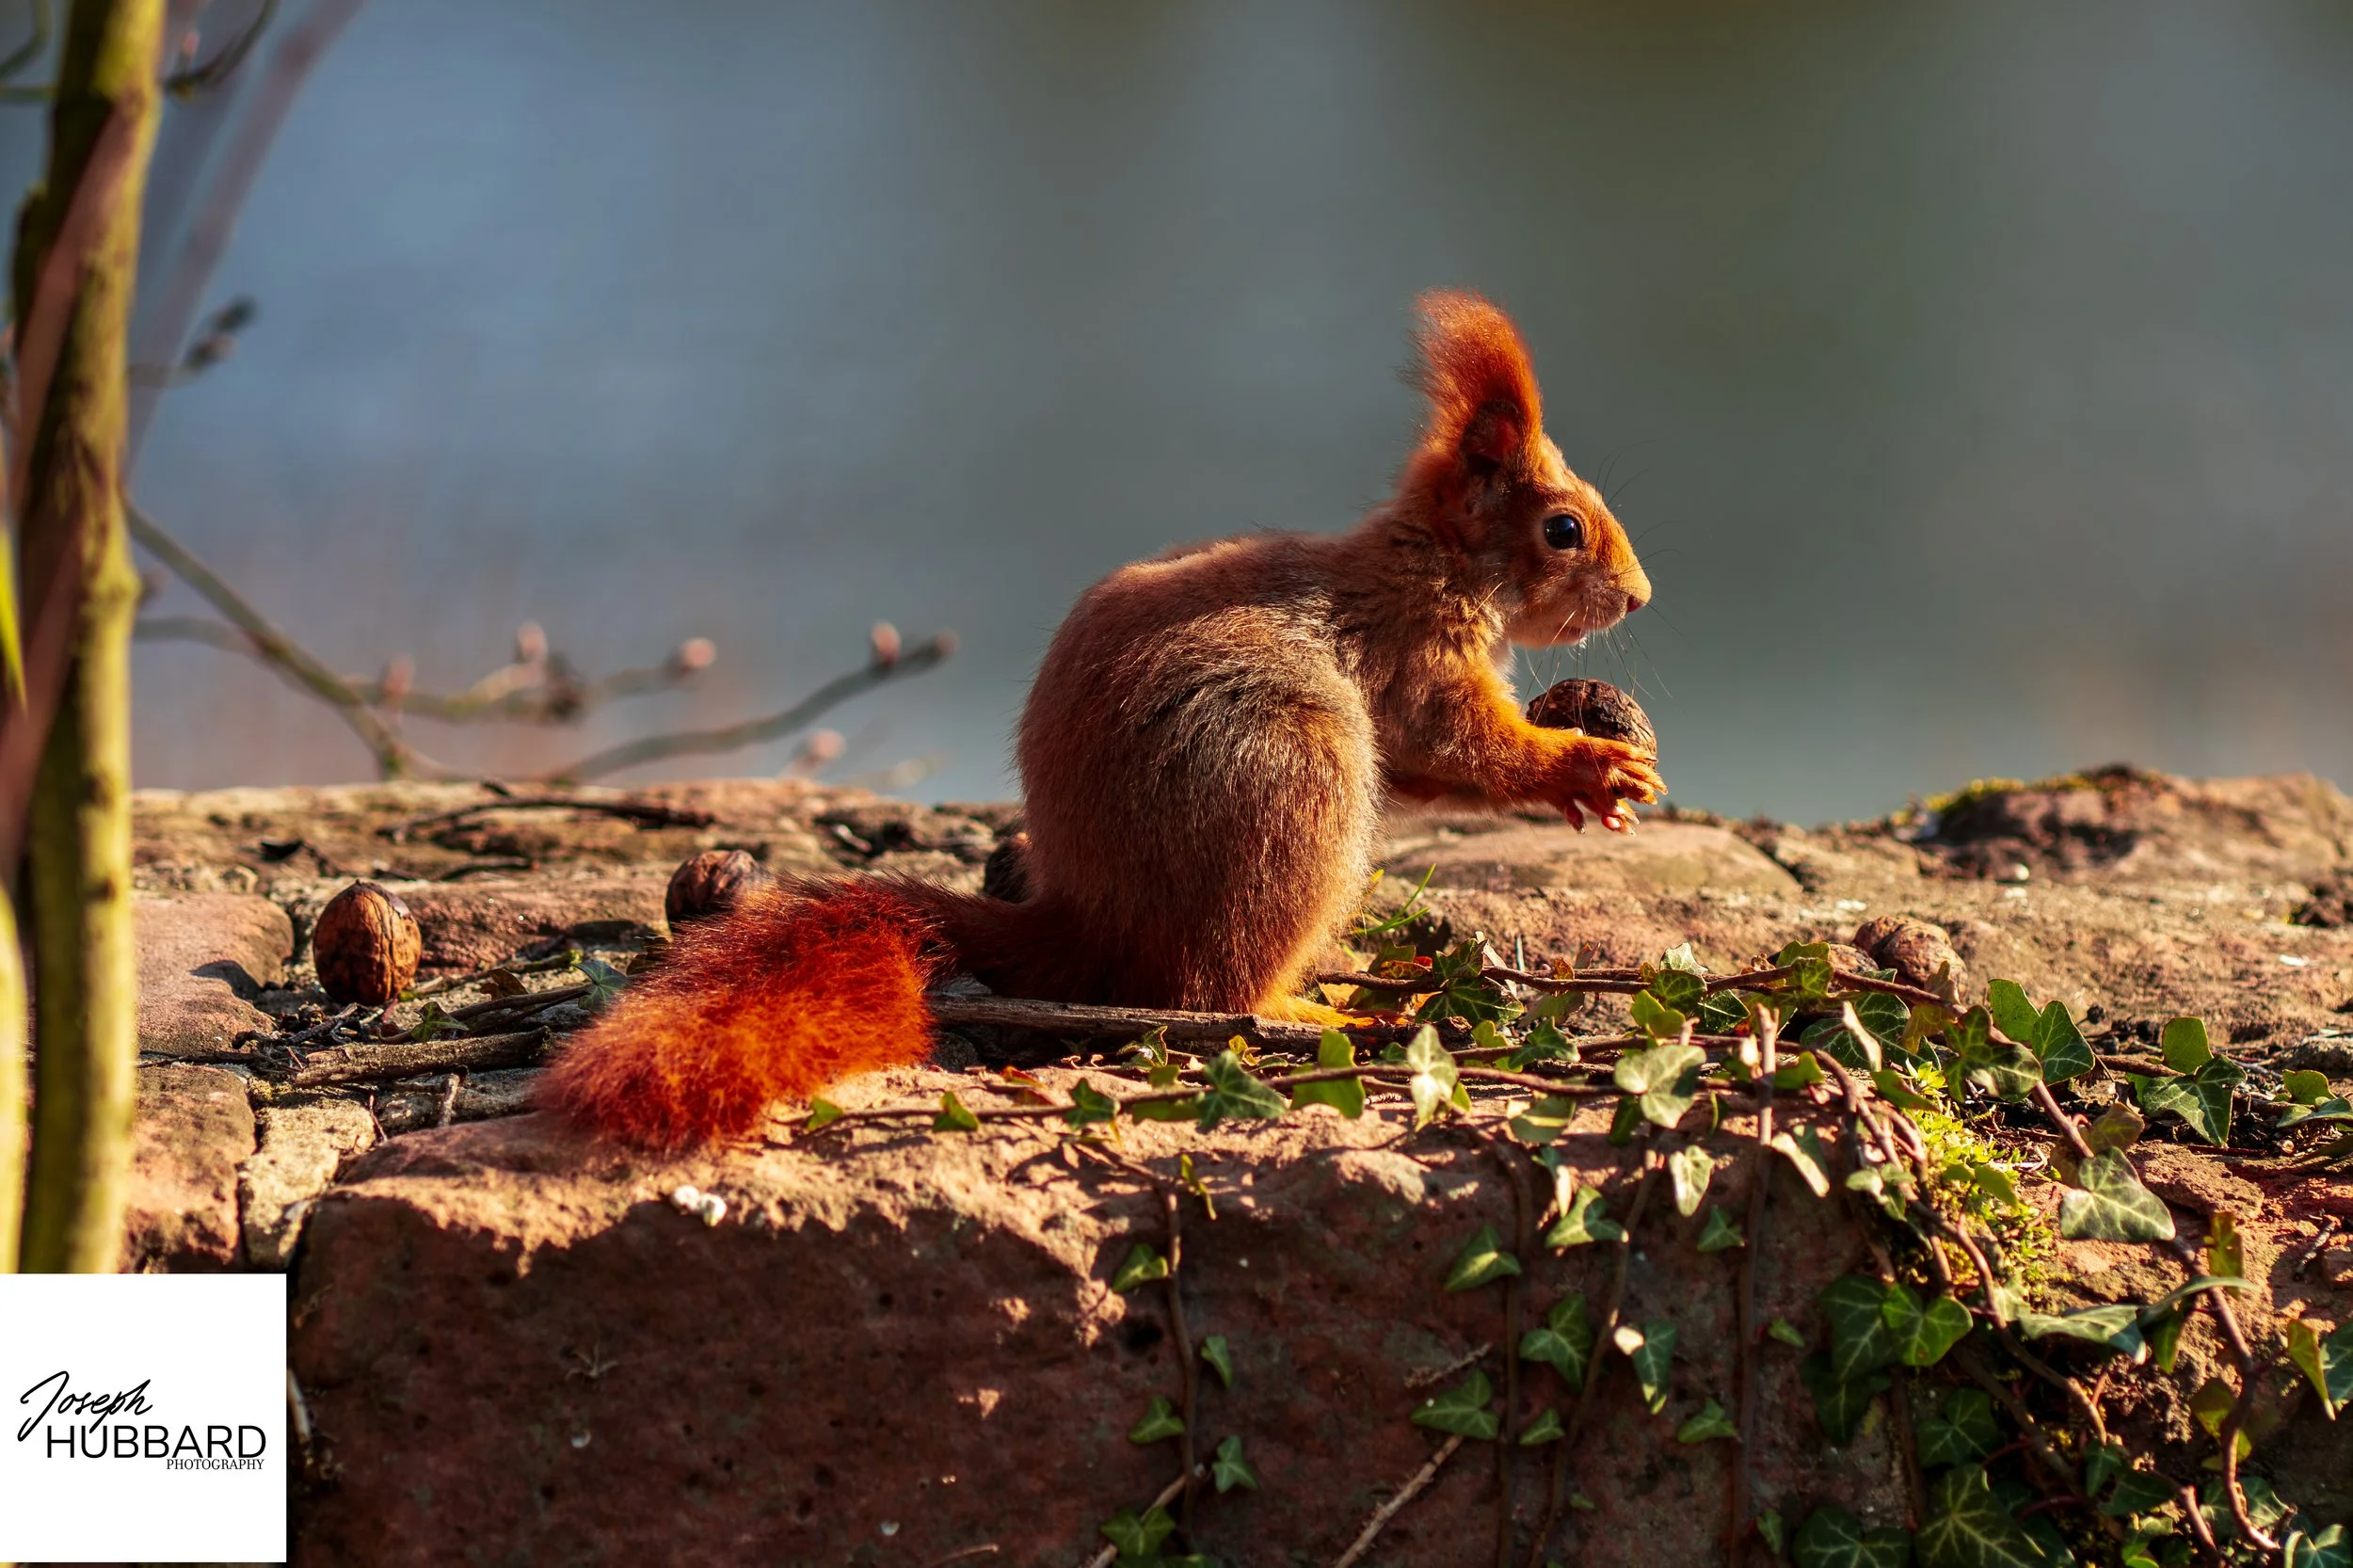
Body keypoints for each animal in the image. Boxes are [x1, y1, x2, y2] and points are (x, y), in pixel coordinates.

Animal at [543, 290, 1662, 1149]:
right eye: (1563, 529)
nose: (1640, 596)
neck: (1434, 563)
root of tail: (1095, 918)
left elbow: (1434, 771)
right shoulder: (1416, 658)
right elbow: (1459, 742)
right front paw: (1585, 765)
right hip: (1293, 784)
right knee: (1212, 991)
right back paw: (1319, 1004)